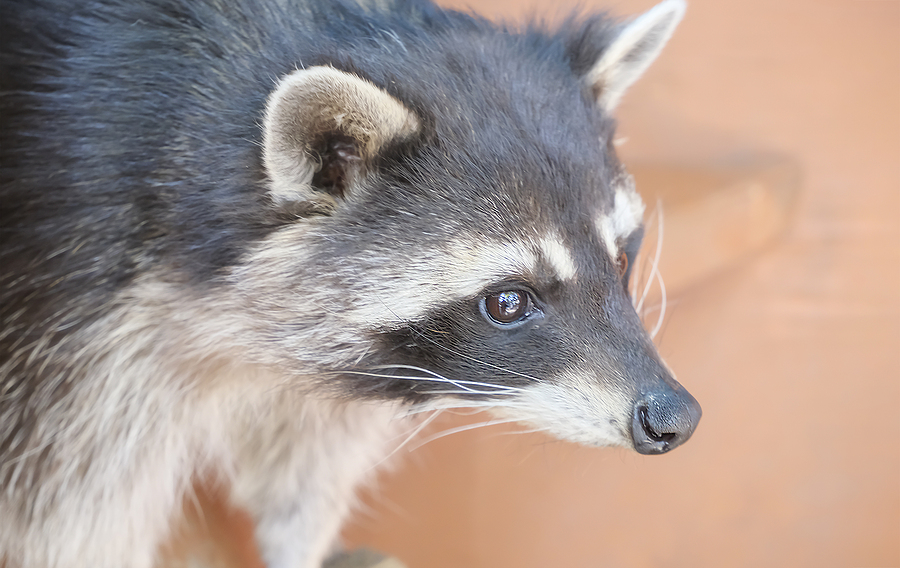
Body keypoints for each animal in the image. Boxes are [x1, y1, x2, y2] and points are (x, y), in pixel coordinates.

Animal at [0, 0, 701, 566]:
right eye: (508, 301)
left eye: (620, 258)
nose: (675, 417)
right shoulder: (66, 301)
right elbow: (68, 515)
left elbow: (305, 467)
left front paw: (300, 548)